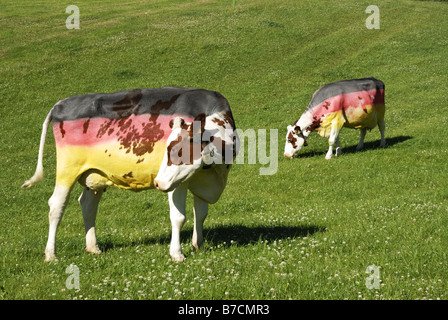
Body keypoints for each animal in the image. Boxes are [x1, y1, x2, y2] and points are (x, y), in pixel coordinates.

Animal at [21, 86, 238, 262]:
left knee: (88, 205)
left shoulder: (201, 179)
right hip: (68, 169)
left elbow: (200, 214)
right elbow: (179, 217)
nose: (158, 183)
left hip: (94, 174)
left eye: (179, 150)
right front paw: (177, 254)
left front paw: (198, 245)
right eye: (168, 149)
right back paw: (51, 255)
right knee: (56, 206)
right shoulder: (177, 182)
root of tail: (61, 103)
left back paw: (93, 248)